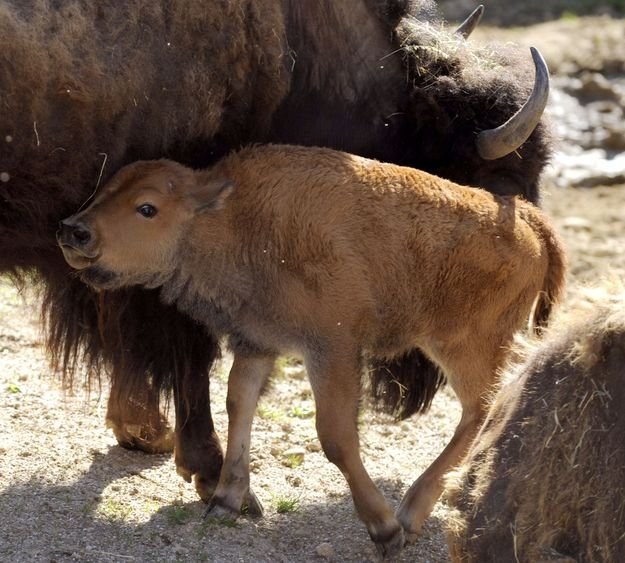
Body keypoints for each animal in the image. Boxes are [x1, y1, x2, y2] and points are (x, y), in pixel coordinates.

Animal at [58, 144, 564, 560]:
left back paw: (409, 515)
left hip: (464, 347)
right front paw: (225, 502)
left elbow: (335, 436)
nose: (73, 231)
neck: (236, 217)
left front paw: (384, 531)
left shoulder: (332, 348)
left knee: (480, 409)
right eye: (105, 189)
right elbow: (238, 403)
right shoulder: (257, 342)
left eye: (147, 208)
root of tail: (527, 218)